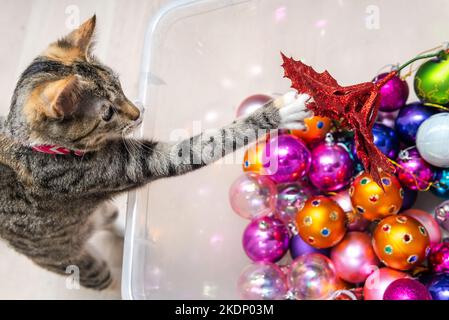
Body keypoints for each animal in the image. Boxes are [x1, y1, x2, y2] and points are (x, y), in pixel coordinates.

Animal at [0, 15, 308, 290]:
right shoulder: (132, 164)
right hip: (73, 260)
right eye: (107, 113)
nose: (136, 114)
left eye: (119, 84)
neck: (33, 145)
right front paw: (276, 112)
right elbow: (208, 142)